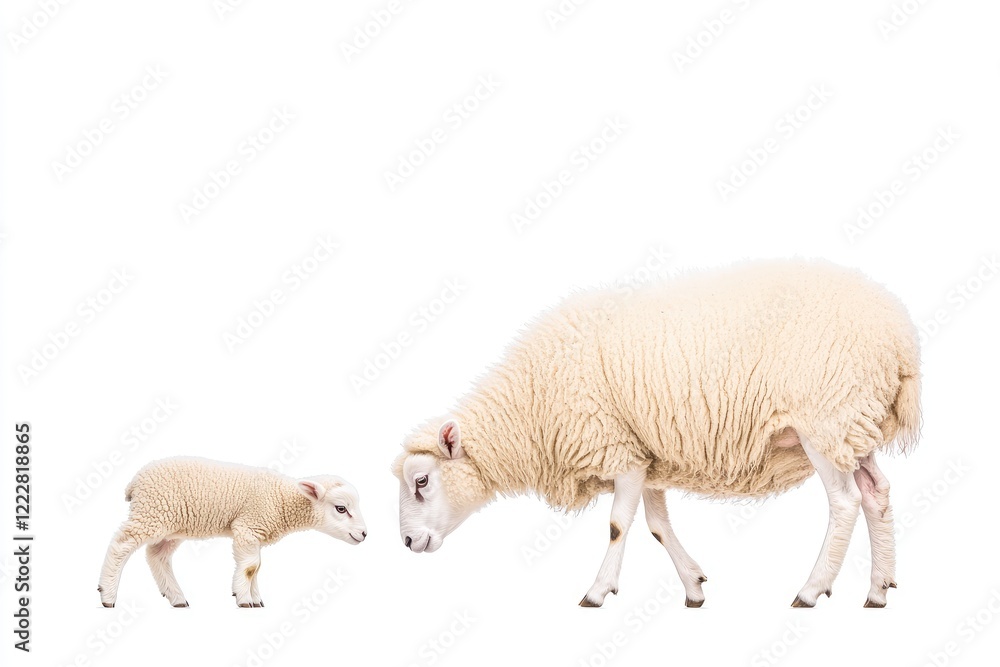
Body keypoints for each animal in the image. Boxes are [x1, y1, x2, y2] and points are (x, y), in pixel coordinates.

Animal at [99, 456, 366, 608]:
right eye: (341, 508)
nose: (364, 534)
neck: (282, 499)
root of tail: (135, 482)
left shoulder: (255, 532)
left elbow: (256, 568)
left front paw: (256, 599)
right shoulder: (247, 527)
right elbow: (250, 567)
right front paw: (244, 598)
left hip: (171, 524)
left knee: (157, 555)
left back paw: (176, 598)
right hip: (152, 512)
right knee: (121, 544)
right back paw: (107, 595)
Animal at [392, 259, 921, 609]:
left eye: (421, 481)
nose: (408, 544)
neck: (531, 410)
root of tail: (900, 338)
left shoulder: (617, 450)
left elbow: (617, 525)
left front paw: (597, 591)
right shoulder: (645, 455)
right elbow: (658, 526)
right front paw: (693, 587)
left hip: (825, 418)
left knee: (845, 503)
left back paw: (811, 590)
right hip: (856, 423)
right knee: (877, 493)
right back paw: (879, 589)